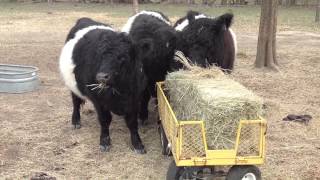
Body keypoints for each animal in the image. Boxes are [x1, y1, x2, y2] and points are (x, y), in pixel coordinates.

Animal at [59, 17, 152, 154]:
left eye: (122, 57)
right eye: (100, 56)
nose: (101, 76)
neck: (120, 88)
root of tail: (84, 19)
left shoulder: (134, 99)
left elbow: (132, 123)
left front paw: (137, 144)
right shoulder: (98, 100)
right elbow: (105, 120)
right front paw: (104, 142)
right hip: (72, 85)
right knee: (75, 102)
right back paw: (76, 121)